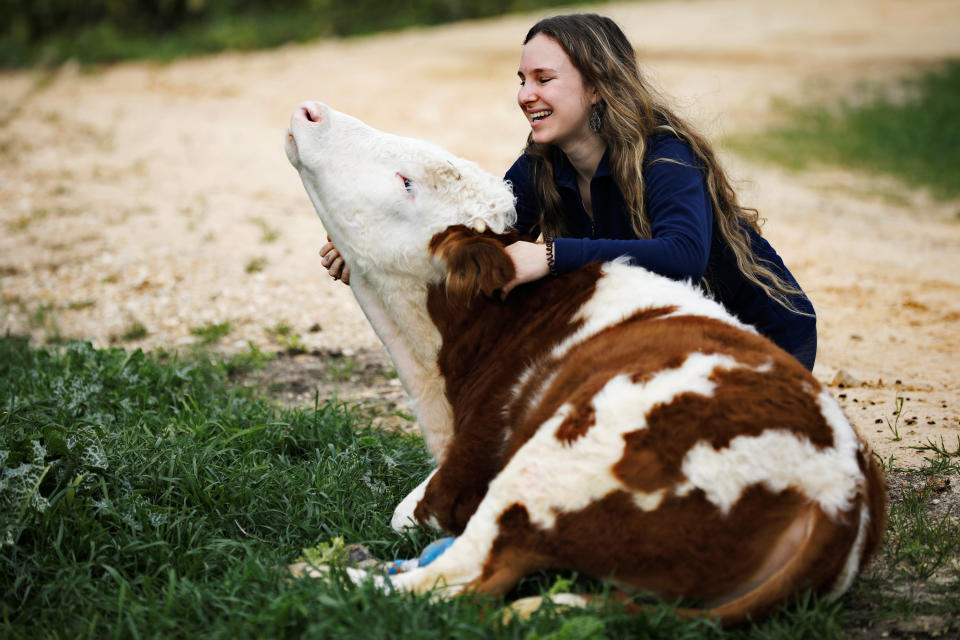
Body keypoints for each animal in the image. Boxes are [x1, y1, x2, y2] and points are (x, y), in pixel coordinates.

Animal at [284, 100, 884, 624]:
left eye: (406, 181)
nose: (311, 110)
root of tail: (840, 493)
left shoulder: (466, 470)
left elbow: (411, 513)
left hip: (556, 462)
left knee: (461, 578)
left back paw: (320, 573)